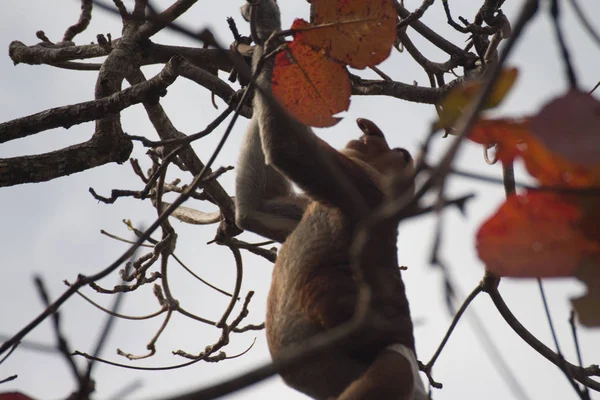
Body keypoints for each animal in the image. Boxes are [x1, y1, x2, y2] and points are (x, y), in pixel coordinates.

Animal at [234, 1, 426, 398]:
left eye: (399, 154)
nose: (369, 132)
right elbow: (256, 208)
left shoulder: (360, 184)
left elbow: (287, 150)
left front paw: (269, 28)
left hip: (392, 372)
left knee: (394, 361)